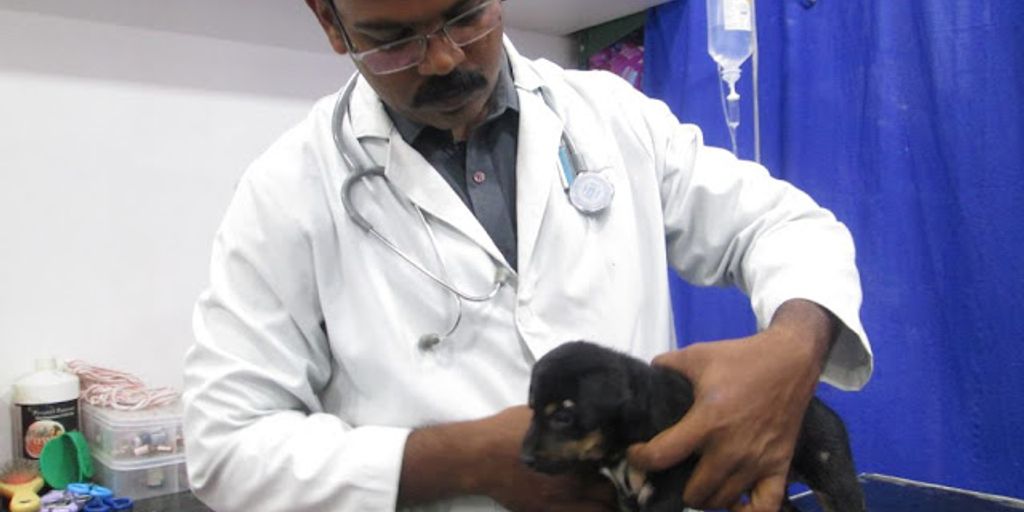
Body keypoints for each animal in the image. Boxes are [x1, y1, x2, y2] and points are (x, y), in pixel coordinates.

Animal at [520, 339, 864, 512]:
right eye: (532, 410)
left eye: (563, 417)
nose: (524, 459)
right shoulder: (626, 497)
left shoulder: (665, 489)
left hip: (833, 476)